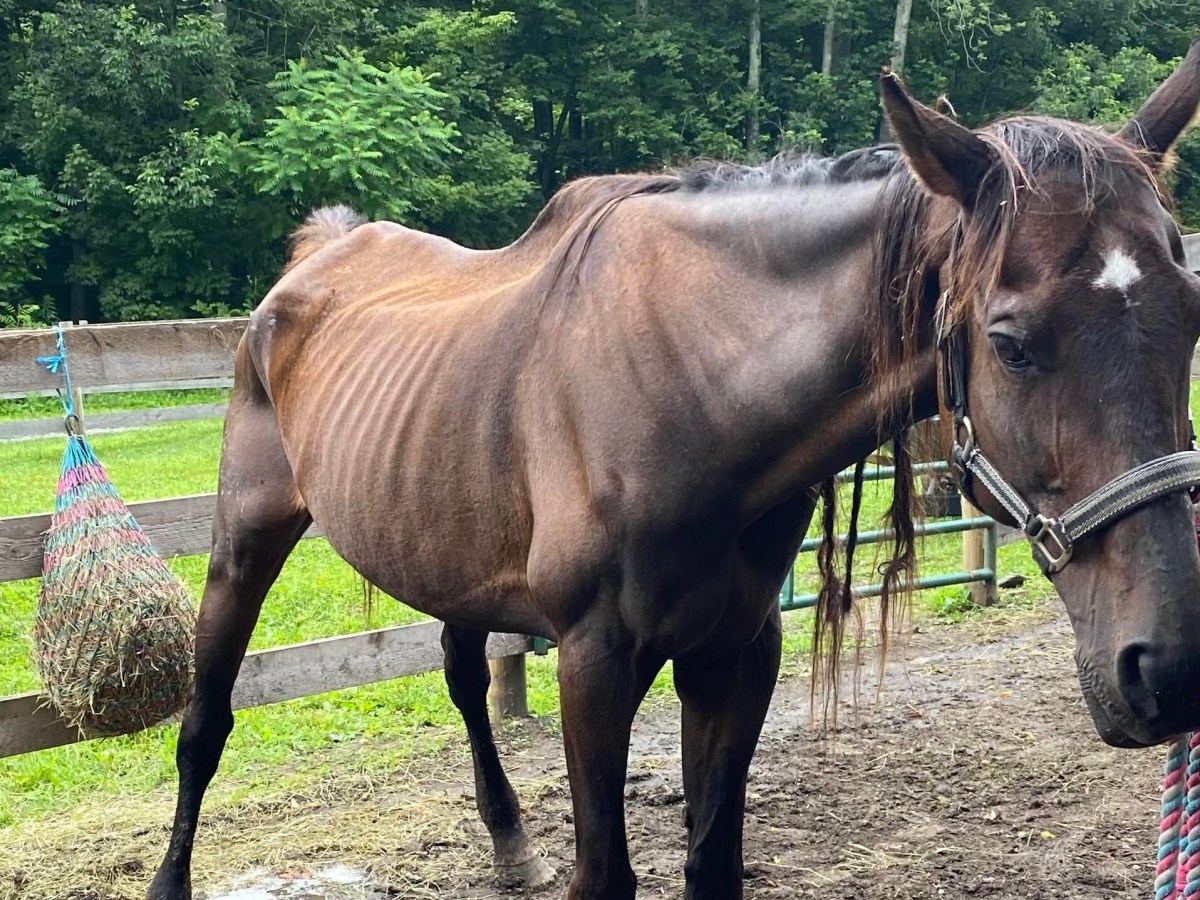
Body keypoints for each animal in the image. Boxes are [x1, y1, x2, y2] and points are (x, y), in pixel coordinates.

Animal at [150, 45, 1200, 900]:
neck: (689, 386)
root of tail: (319, 256)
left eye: (1187, 316)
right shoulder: (595, 660)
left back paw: (509, 843)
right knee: (205, 724)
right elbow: (607, 872)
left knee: (462, 679)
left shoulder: (734, 652)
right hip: (243, 541)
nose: (1168, 665)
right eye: (1011, 344)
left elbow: (711, 860)